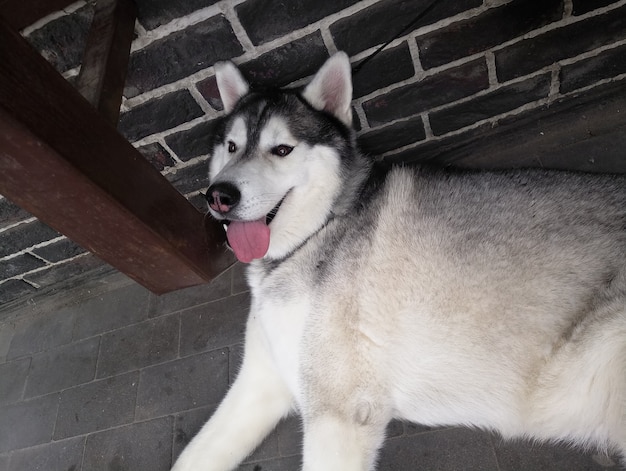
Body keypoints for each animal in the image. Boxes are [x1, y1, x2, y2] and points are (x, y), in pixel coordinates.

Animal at [172, 53, 626, 470]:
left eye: (281, 150)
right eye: (231, 147)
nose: (219, 195)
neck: (315, 232)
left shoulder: (339, 412)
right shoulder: (259, 383)